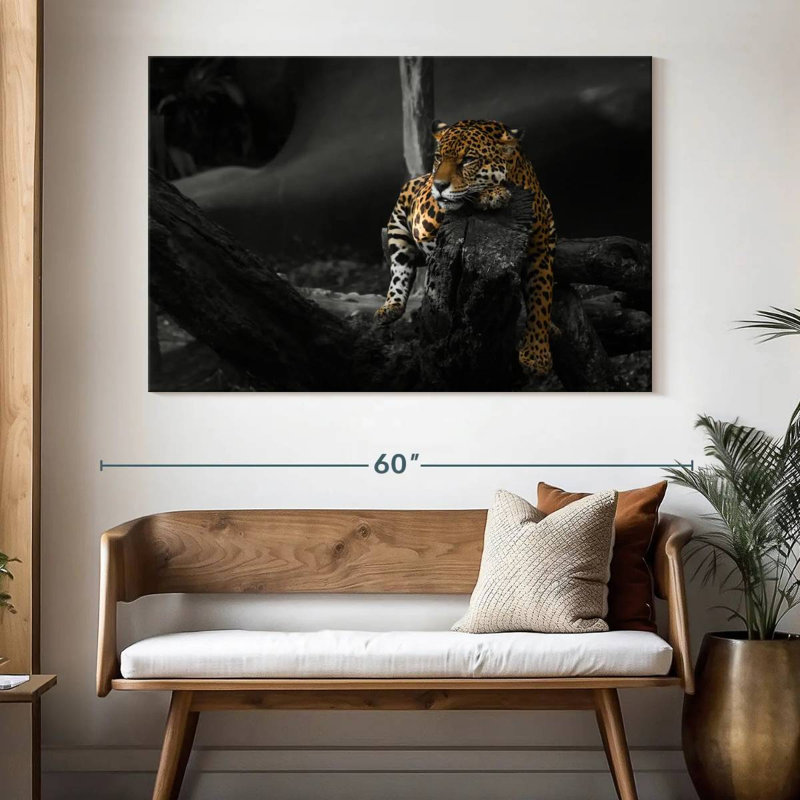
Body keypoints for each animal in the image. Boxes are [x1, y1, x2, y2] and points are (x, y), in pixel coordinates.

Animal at [374, 118, 556, 375]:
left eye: (468, 160)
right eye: (438, 157)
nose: (439, 184)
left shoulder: (539, 250)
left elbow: (541, 296)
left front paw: (537, 355)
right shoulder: (426, 208)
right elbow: (461, 198)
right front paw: (492, 193)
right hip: (400, 223)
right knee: (400, 268)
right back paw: (391, 306)